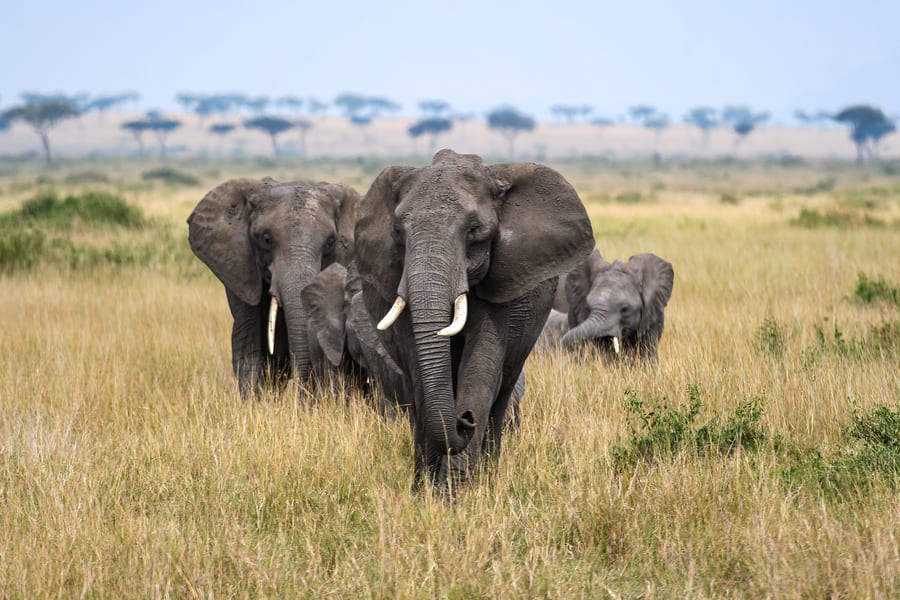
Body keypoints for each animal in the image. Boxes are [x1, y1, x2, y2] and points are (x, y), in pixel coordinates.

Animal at [354, 151, 596, 492]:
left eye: (473, 231)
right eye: (398, 231)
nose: (465, 418)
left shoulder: (502, 278)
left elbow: (481, 365)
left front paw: (456, 492)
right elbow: (419, 371)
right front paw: (428, 492)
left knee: (502, 390)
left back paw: (489, 474)